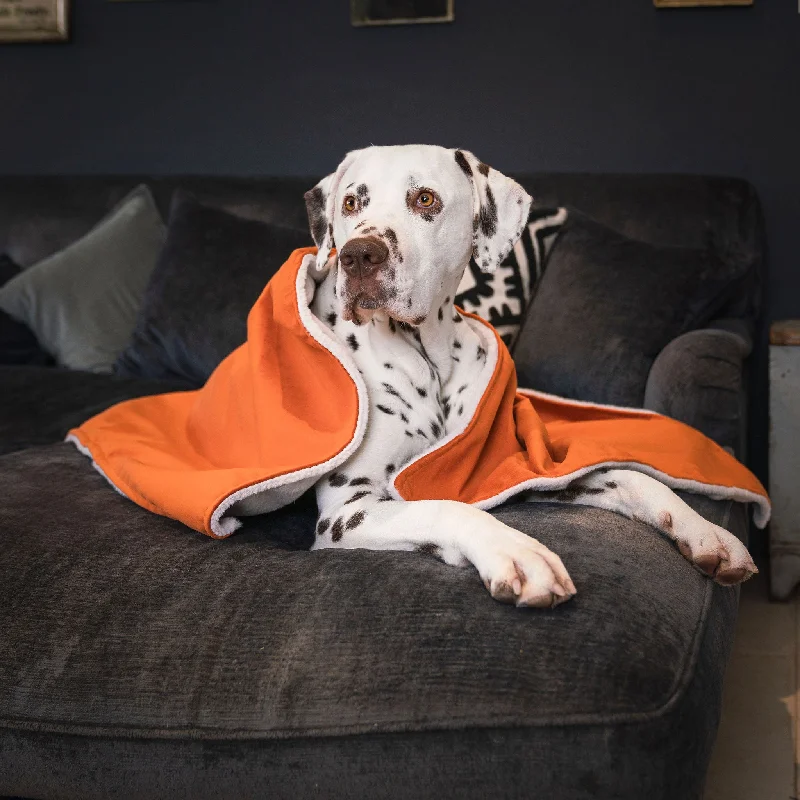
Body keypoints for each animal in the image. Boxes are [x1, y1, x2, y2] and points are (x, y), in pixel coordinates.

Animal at [300, 145, 756, 608]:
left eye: (425, 199)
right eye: (350, 203)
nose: (359, 255)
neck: (429, 358)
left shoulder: (520, 467)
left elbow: (628, 476)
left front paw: (706, 533)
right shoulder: (346, 510)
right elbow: (443, 506)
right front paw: (516, 552)